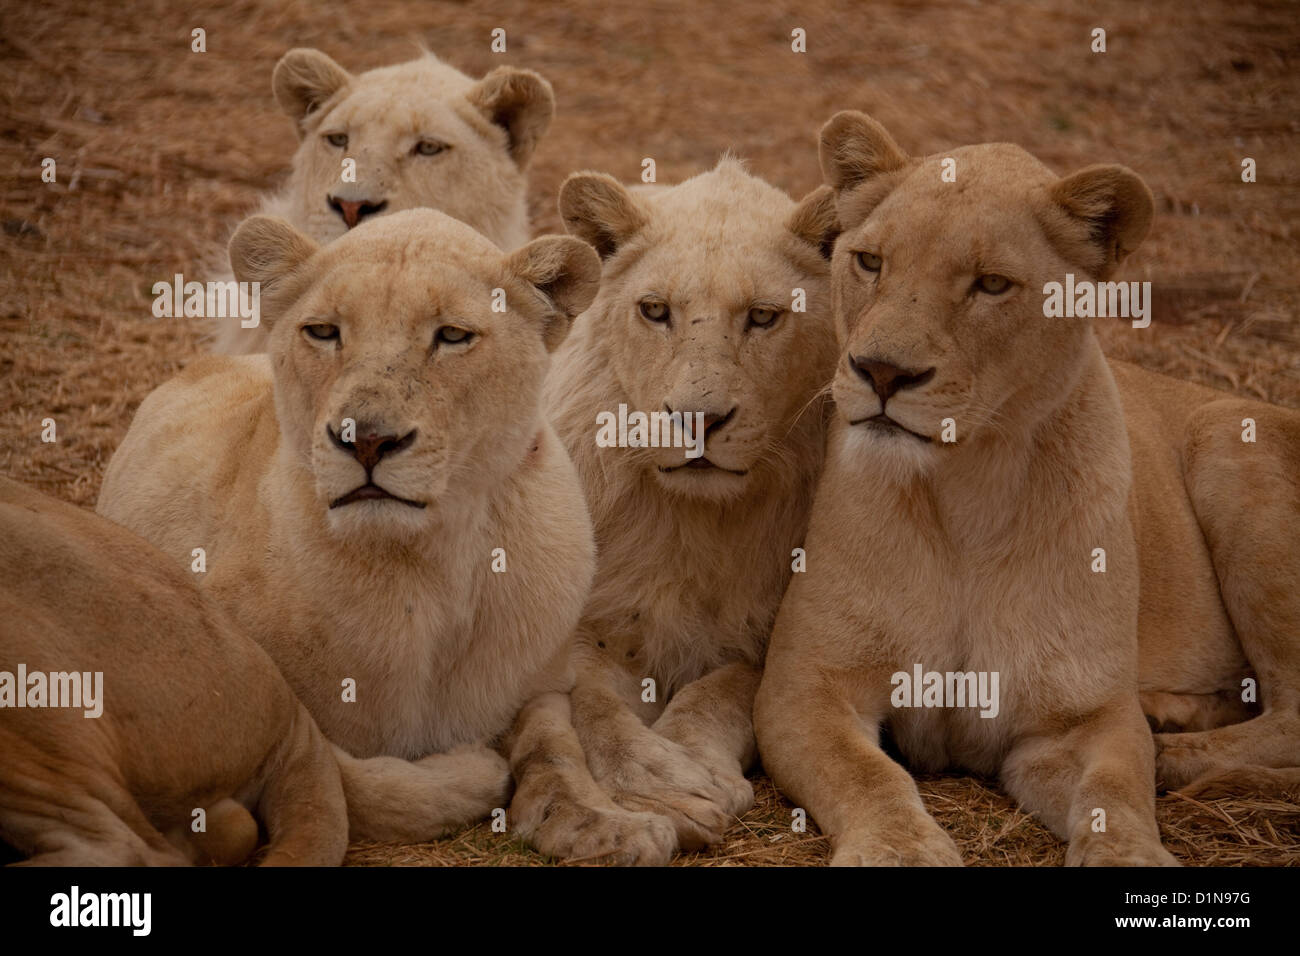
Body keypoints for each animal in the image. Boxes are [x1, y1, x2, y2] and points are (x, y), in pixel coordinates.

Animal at [754, 110, 1300, 868]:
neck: (965, 496)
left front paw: (1131, 854)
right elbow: (866, 773)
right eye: (869, 262)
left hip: (1227, 435)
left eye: (990, 285)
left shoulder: (1081, 717)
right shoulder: (805, 683)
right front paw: (901, 849)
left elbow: (1114, 794)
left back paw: (1173, 749)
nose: (881, 372)